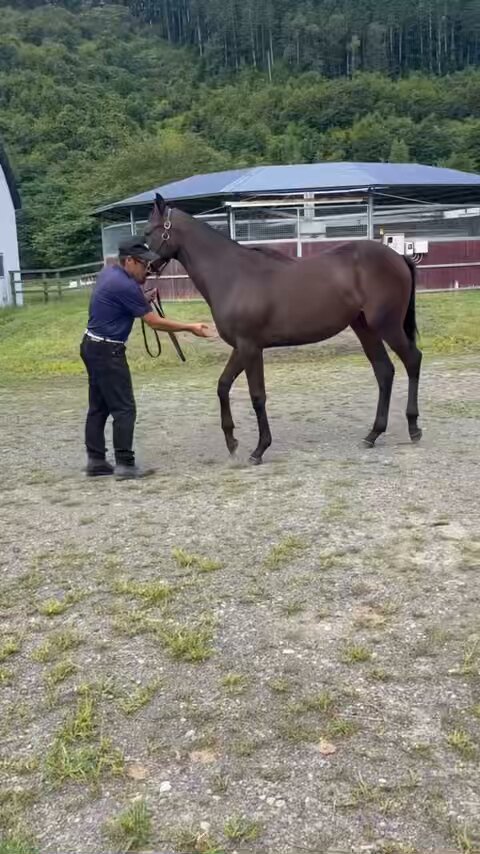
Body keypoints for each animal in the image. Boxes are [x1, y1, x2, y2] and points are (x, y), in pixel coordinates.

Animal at [144, 193, 422, 464]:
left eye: (148, 231)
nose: (142, 265)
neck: (233, 276)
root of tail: (398, 257)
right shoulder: (241, 347)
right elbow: (223, 386)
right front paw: (232, 442)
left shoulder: (251, 347)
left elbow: (257, 396)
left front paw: (259, 449)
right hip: (365, 328)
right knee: (384, 371)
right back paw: (373, 434)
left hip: (387, 326)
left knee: (412, 360)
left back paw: (413, 428)